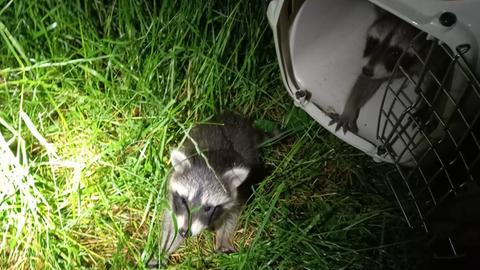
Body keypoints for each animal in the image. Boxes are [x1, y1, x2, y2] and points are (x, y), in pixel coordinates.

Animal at [146, 112, 266, 268]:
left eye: (208, 208)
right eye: (184, 201)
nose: (185, 233)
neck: (212, 161)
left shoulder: (238, 194)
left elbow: (231, 216)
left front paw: (223, 239)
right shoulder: (172, 199)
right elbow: (171, 223)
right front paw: (163, 250)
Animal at [268, 0, 480, 266]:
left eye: (395, 52)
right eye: (372, 42)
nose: (369, 69)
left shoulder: (436, 56)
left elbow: (438, 79)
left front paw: (427, 104)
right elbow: (364, 84)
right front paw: (350, 109)